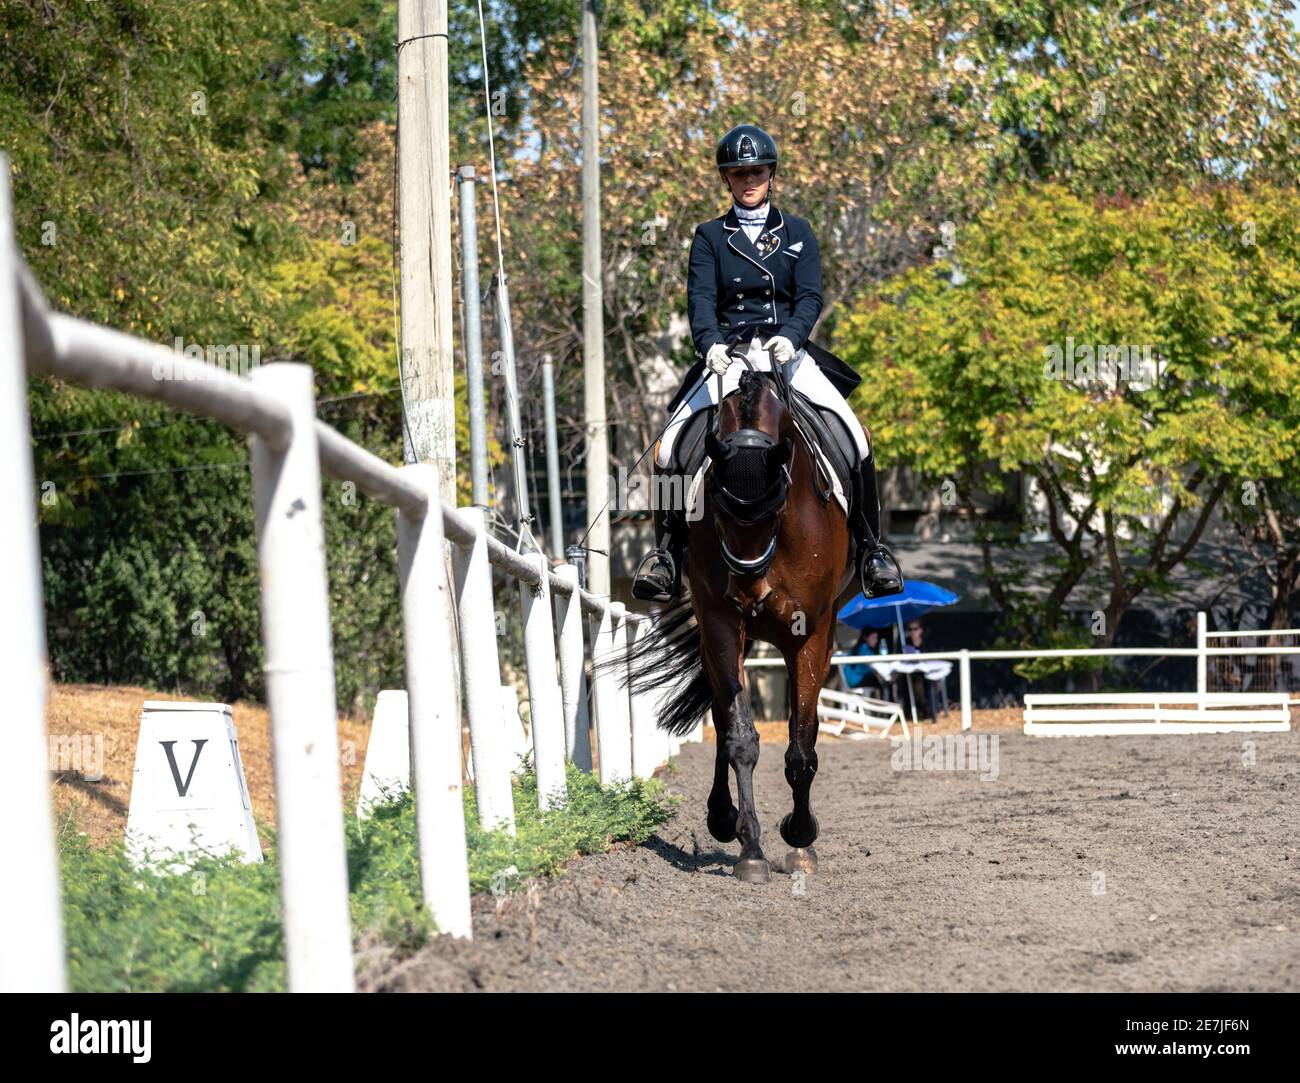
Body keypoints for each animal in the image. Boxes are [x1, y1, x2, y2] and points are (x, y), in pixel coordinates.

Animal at [626, 361, 857, 878]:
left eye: (778, 505)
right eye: (717, 508)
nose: (751, 591)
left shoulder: (812, 633)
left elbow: (802, 744)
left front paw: (800, 837)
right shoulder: (721, 624)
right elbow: (739, 738)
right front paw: (751, 848)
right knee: (718, 714)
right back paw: (722, 817)